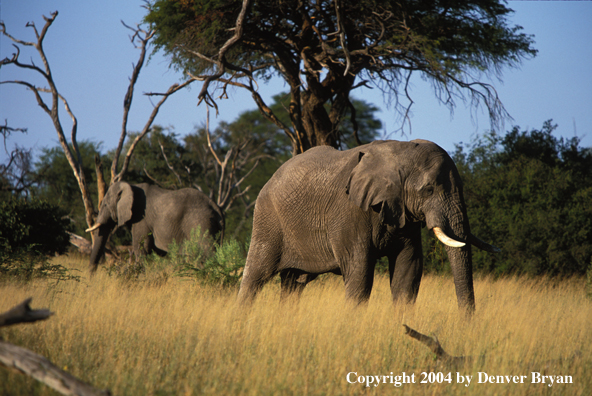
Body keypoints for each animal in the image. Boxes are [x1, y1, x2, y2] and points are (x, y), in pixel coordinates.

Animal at [86, 182, 225, 272]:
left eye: (105, 205)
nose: (92, 277)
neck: (130, 186)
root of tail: (216, 207)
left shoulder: (141, 218)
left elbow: (141, 248)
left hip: (200, 222)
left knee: (207, 252)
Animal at [238, 139, 498, 312]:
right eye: (428, 190)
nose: (467, 323)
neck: (400, 151)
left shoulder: (404, 212)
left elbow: (408, 269)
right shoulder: (350, 211)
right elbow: (359, 270)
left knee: (294, 283)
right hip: (267, 219)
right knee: (255, 275)